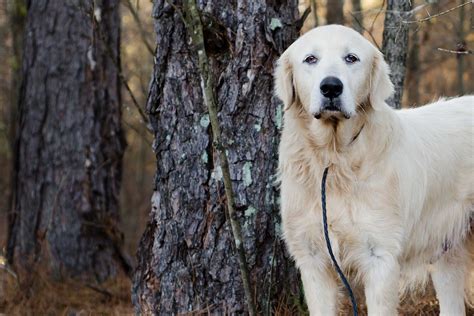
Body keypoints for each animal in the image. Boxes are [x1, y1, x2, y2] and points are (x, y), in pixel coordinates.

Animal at [276, 25, 472, 316]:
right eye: (311, 59)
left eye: (351, 58)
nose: (331, 86)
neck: (334, 158)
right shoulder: (313, 260)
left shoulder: (380, 258)